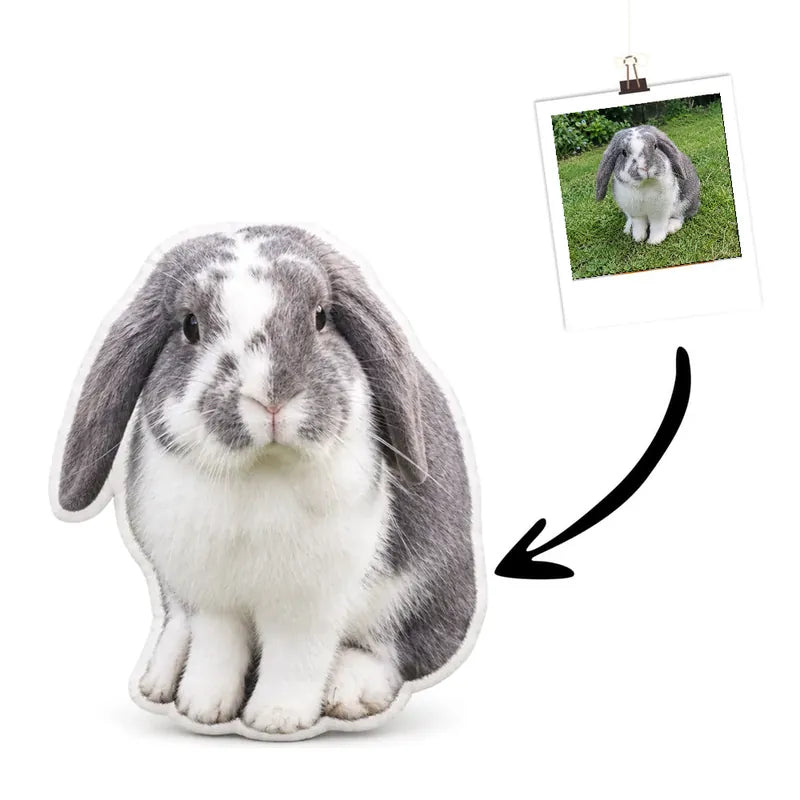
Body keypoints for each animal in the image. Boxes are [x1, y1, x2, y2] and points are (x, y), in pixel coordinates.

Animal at [50, 225, 484, 739]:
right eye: (190, 326)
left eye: (320, 317)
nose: (271, 396)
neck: (261, 470)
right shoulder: (212, 595)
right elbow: (217, 647)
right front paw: (203, 707)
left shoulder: (308, 603)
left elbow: (295, 658)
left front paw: (276, 720)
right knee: (179, 620)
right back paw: (159, 680)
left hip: (430, 597)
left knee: (399, 651)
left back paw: (350, 692)